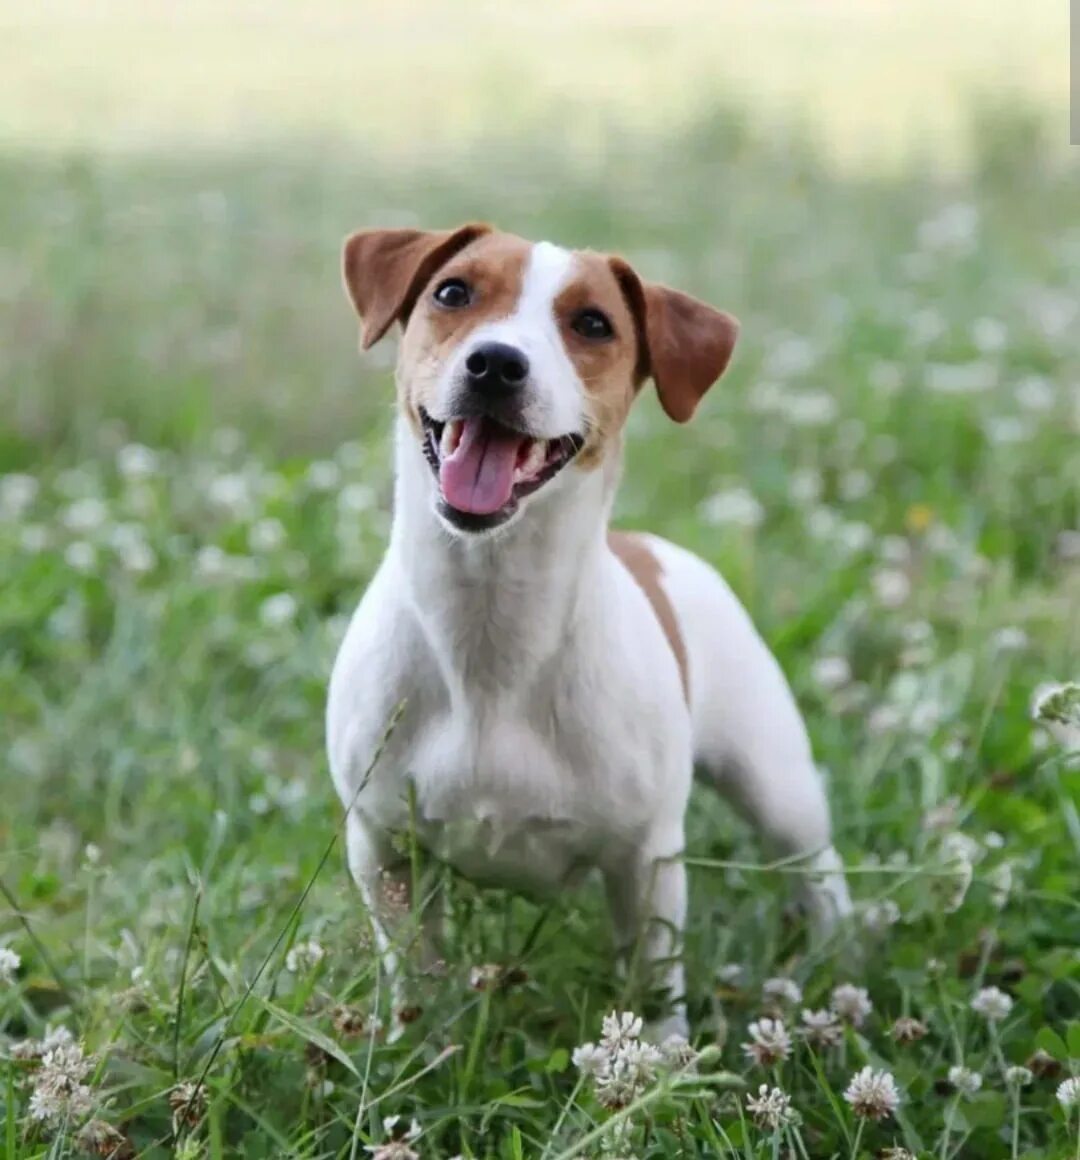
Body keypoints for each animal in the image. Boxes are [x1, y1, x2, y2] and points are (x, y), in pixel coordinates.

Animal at [324, 221, 849, 1039]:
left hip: (775, 781)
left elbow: (653, 988)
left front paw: (660, 1060)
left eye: (594, 324)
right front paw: (419, 1047)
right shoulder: (384, 848)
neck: (492, 617)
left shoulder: (646, 861)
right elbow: (416, 974)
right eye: (452, 292)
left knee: (816, 866)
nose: (496, 363)